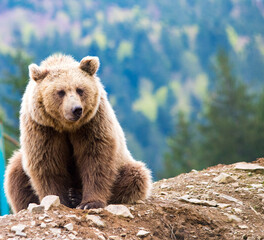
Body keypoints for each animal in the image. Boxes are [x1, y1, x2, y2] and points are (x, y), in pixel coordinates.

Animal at [4, 54, 152, 212]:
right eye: (60, 92)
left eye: (80, 89)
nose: (76, 109)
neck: (67, 127)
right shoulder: (43, 129)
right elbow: (47, 163)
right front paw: (58, 200)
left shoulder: (92, 123)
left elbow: (96, 158)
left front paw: (89, 202)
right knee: (15, 173)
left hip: (124, 162)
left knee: (136, 175)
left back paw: (75, 194)